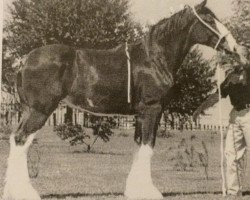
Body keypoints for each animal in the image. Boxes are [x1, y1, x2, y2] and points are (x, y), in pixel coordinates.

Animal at [1, 0, 245, 199]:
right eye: (209, 19)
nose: (234, 46)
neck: (153, 58)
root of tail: (25, 60)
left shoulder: (139, 114)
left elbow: (139, 146)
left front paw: (134, 190)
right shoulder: (152, 109)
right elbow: (148, 146)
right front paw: (149, 192)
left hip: (31, 110)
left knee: (18, 140)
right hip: (40, 110)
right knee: (21, 140)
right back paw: (25, 193)